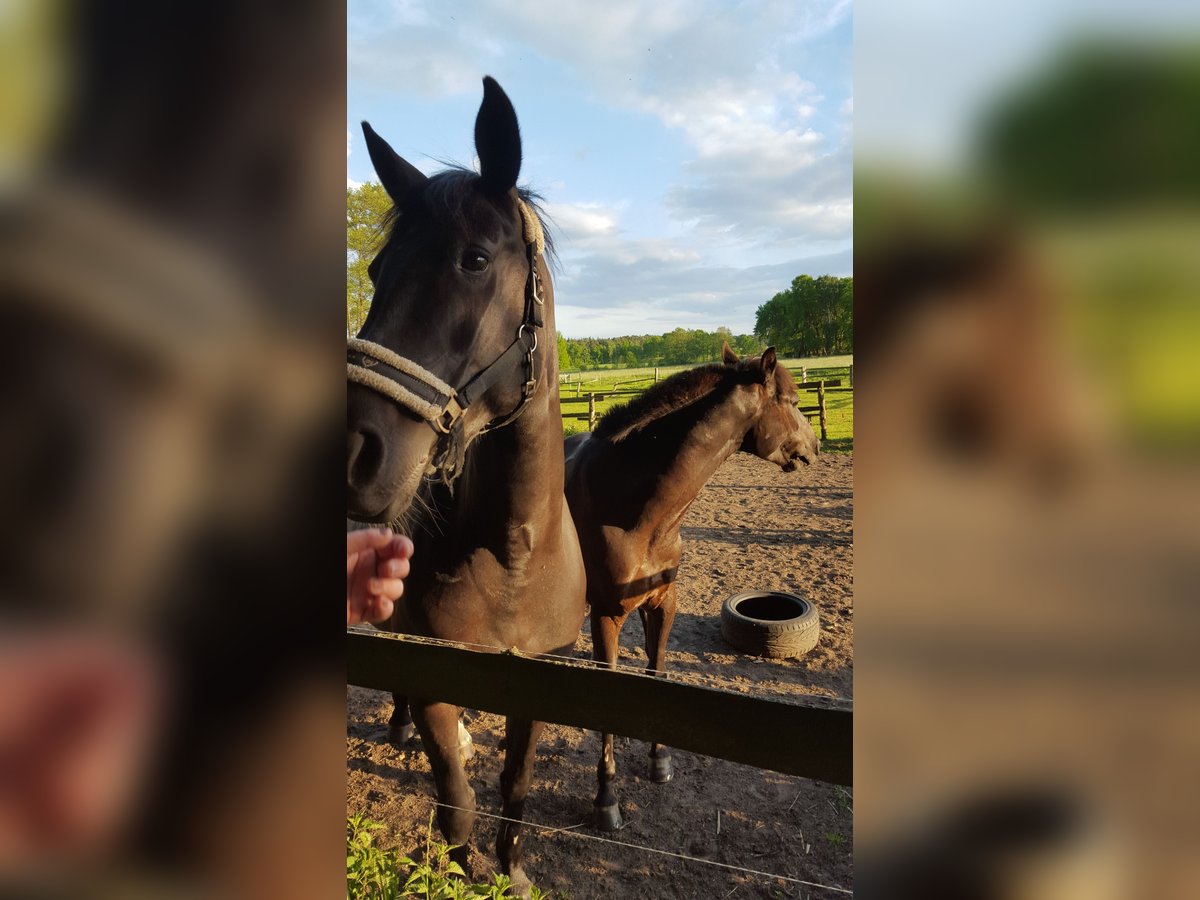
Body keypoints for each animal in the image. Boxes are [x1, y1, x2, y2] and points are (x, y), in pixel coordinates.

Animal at [345, 79, 588, 897]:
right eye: (376, 272)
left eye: (475, 258)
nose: (355, 449)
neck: (514, 556)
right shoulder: (435, 681)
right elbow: (456, 807)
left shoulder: (538, 684)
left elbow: (515, 788)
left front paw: (511, 869)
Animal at [566, 345, 820, 830]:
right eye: (794, 402)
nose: (815, 447)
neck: (628, 506)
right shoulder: (606, 614)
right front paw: (606, 800)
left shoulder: (663, 602)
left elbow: (658, 670)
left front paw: (659, 761)